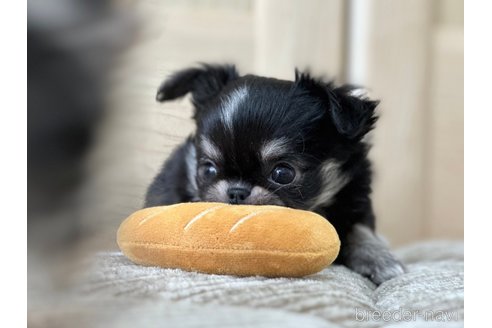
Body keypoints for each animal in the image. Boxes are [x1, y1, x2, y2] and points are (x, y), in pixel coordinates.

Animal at [147, 64, 408, 284]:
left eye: (283, 173)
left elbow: (361, 232)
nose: (236, 192)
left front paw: (380, 260)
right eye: (208, 169)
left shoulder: (356, 202)